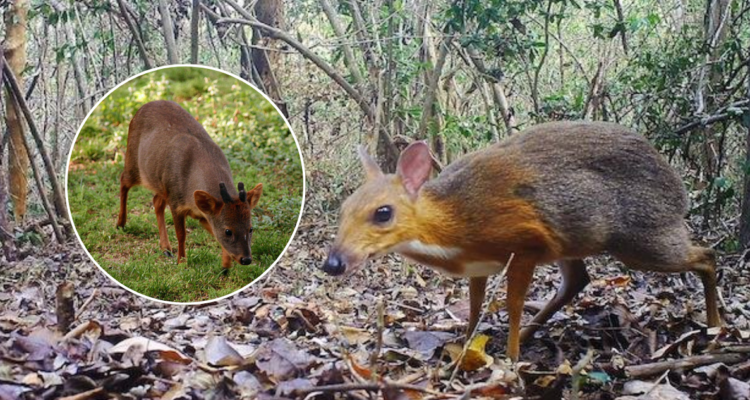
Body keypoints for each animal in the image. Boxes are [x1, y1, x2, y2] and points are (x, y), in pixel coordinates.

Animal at [116, 100, 262, 270]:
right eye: (228, 231)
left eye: (251, 228)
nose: (246, 259)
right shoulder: (176, 202)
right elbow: (181, 234)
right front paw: (182, 262)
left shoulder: (204, 213)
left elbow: (214, 234)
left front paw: (225, 266)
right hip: (134, 161)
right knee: (123, 181)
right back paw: (120, 223)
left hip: (161, 183)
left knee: (156, 201)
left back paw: (166, 248)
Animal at [322, 121, 721, 361]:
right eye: (344, 209)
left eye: (383, 212)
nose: (333, 263)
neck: (454, 222)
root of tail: (679, 188)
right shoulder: (479, 266)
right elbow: (474, 306)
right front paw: (466, 345)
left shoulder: (526, 244)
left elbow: (513, 305)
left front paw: (511, 359)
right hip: (573, 242)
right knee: (578, 280)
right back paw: (532, 333)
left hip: (644, 237)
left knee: (706, 254)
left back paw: (716, 325)